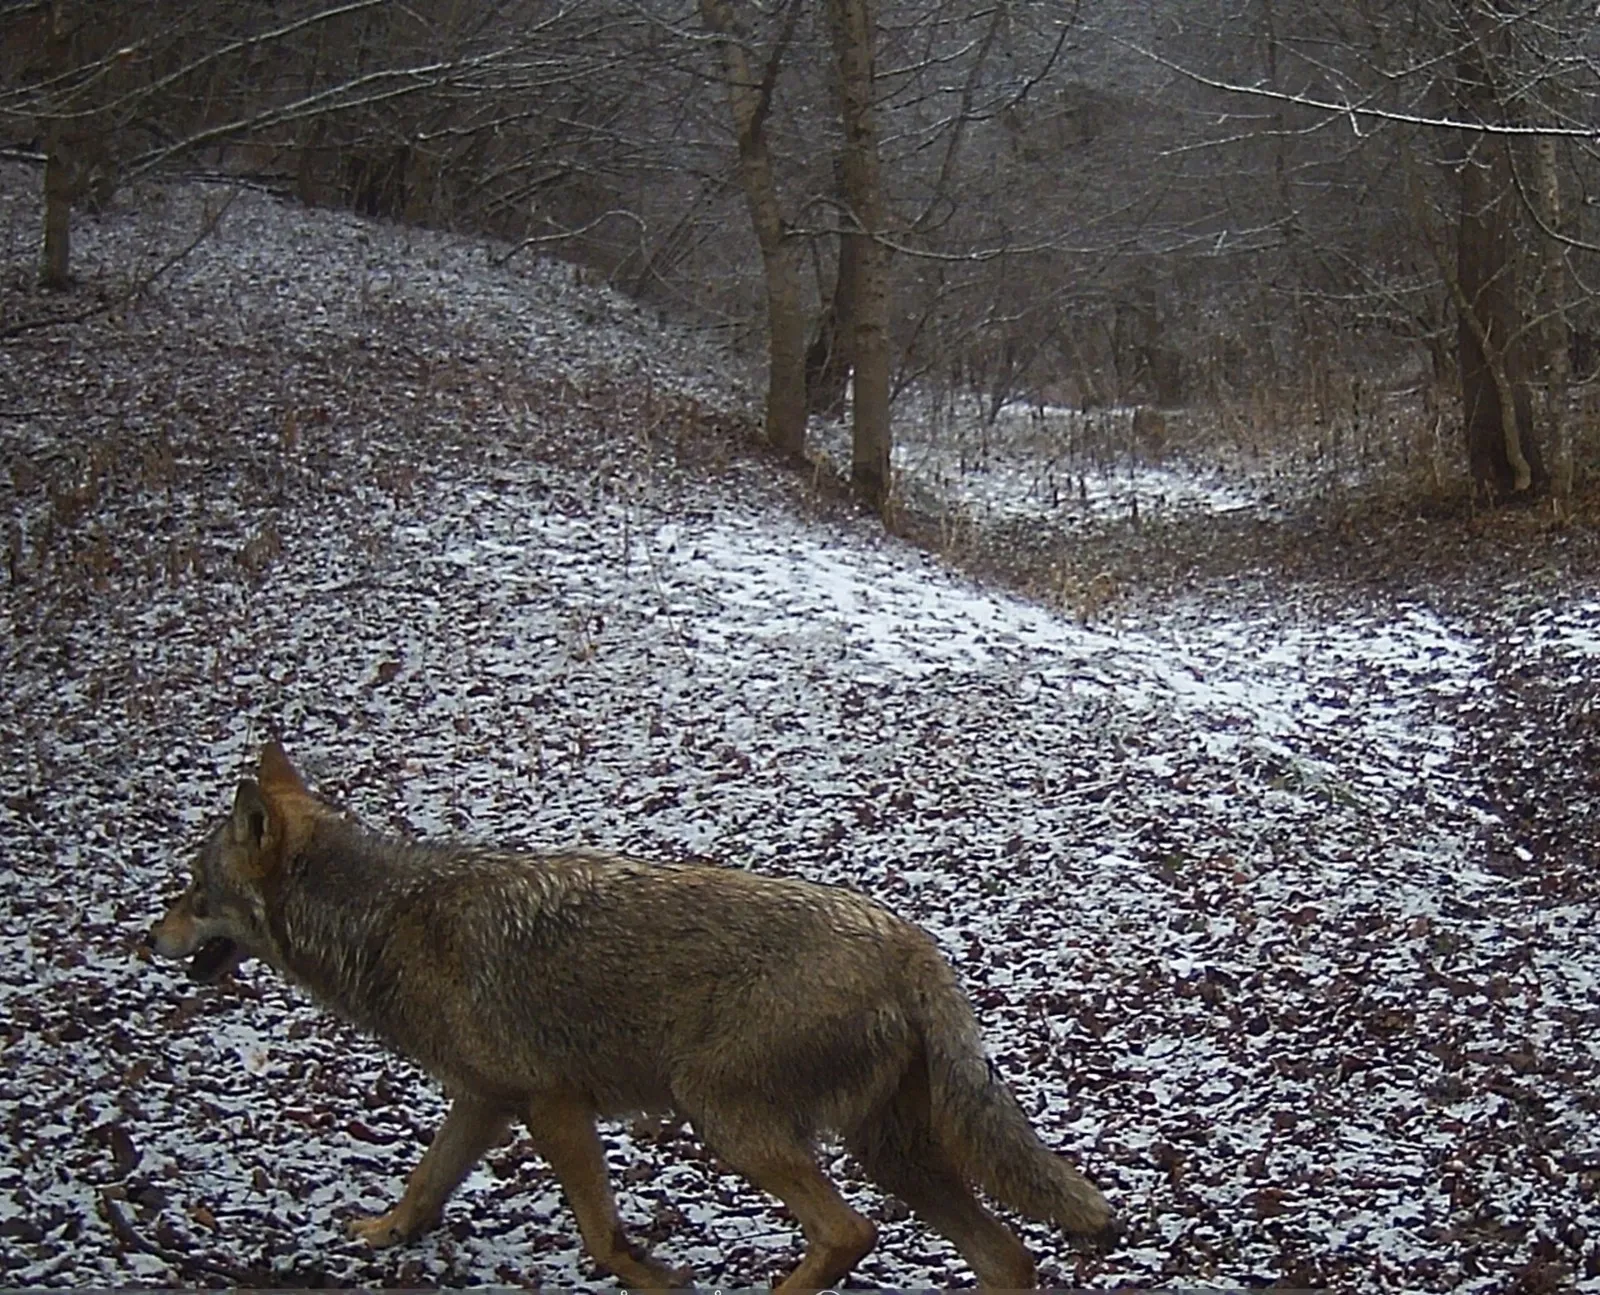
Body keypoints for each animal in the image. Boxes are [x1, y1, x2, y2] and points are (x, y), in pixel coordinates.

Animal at [148, 741, 1114, 1291]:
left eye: (192, 892)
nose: (145, 936)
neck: (383, 920)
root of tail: (914, 944)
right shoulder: (485, 1101)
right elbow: (423, 1185)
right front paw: (381, 1234)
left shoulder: (552, 1105)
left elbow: (606, 1238)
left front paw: (658, 1277)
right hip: (888, 1152)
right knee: (1006, 1256)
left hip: (725, 1118)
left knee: (851, 1232)